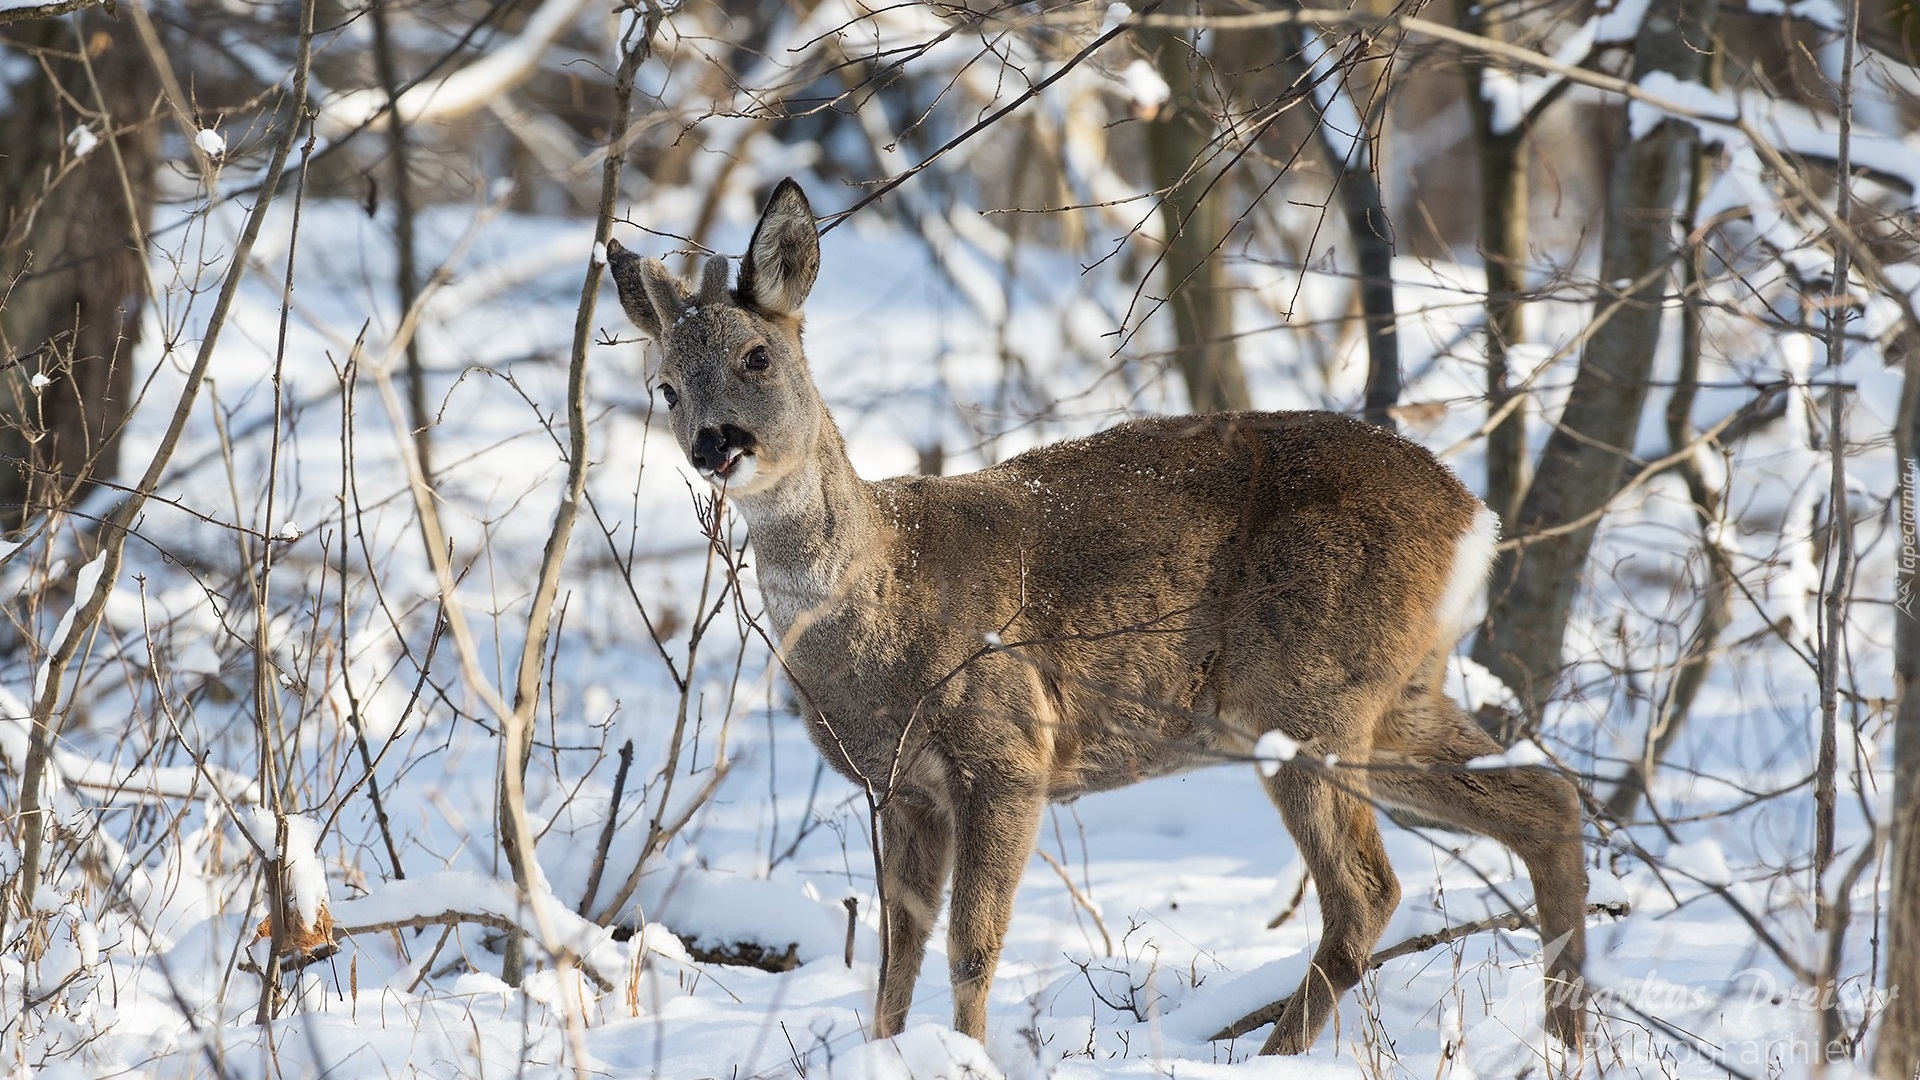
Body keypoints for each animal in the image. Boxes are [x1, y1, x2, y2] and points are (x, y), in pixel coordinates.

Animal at [602, 176, 1589, 1053]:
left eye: (757, 357)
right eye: (665, 387)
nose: (714, 445)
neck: (884, 602)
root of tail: (1475, 520)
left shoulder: (1008, 749)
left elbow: (970, 948)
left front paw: (968, 1055)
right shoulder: (901, 787)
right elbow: (895, 958)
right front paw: (888, 1052)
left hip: (1307, 692)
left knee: (1368, 889)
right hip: (1394, 692)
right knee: (1545, 797)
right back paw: (1567, 1039)